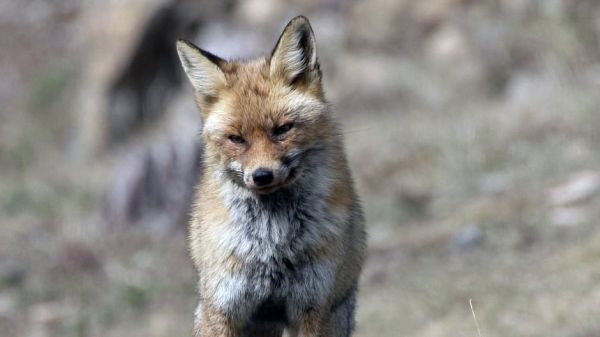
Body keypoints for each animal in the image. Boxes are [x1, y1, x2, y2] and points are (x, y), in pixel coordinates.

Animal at [176, 15, 366, 336]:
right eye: (236, 138)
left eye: (282, 129)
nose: (262, 176)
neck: (272, 242)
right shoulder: (223, 307)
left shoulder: (313, 307)